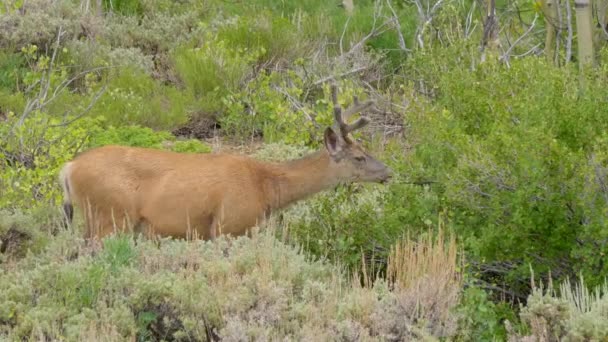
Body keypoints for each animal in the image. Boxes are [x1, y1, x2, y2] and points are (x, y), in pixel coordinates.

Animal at [59, 85, 392, 240]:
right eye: (359, 157)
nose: (388, 171)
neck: (266, 187)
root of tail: (68, 169)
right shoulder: (228, 224)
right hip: (111, 215)